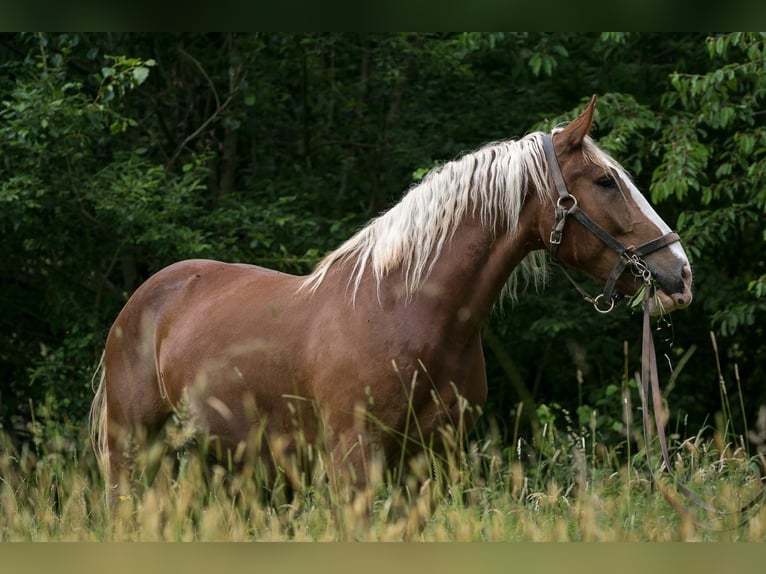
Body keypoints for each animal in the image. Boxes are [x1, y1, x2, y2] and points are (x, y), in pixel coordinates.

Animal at [90, 95, 693, 501]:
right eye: (606, 181)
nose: (680, 272)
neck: (404, 310)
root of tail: (147, 297)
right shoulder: (353, 459)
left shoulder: (434, 459)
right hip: (132, 450)